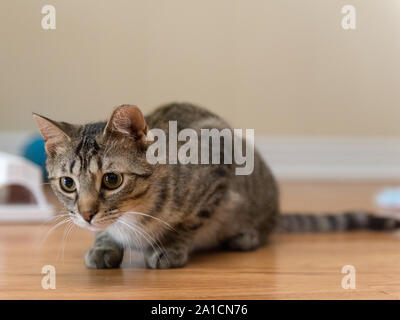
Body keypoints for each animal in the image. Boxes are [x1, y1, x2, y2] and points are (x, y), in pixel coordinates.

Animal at [33, 104, 400, 268]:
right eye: (67, 183)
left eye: (112, 180)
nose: (86, 215)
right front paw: (103, 246)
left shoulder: (218, 168)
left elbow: (190, 222)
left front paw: (170, 248)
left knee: (266, 229)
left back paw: (246, 236)